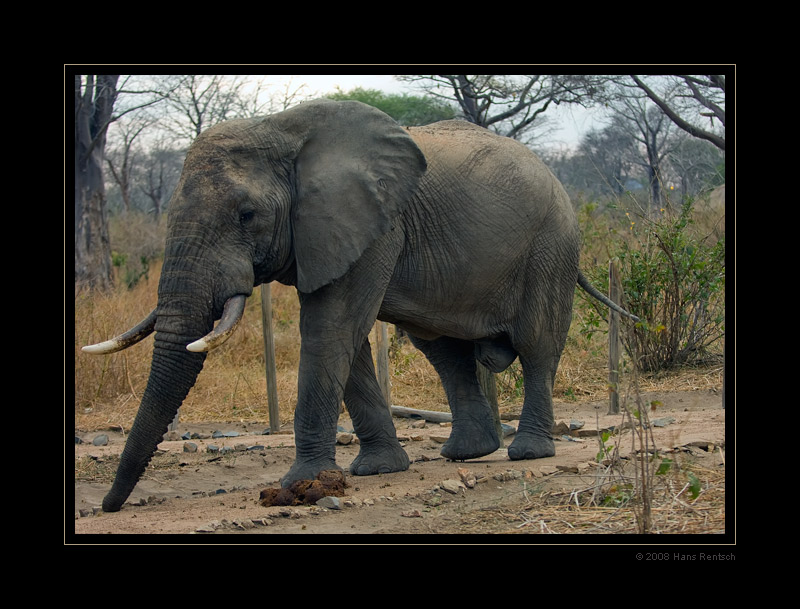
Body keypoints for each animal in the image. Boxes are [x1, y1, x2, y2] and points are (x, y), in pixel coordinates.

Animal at [83, 98, 636, 508]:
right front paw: (376, 470)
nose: (110, 506)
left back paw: (527, 453)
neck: (280, 130)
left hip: (551, 244)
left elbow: (331, 328)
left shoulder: (373, 224)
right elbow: (346, 340)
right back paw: (466, 453)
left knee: (537, 344)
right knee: (442, 350)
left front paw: (300, 488)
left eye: (246, 215)